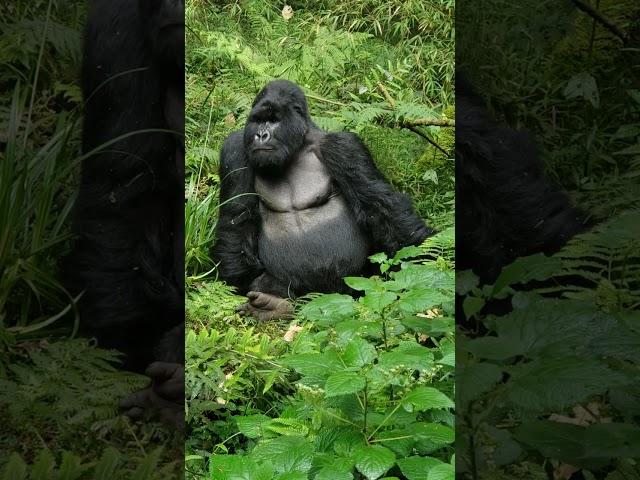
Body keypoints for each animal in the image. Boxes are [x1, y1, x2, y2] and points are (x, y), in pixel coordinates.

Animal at [212, 79, 432, 318]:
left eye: (273, 121)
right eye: (258, 121)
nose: (261, 135)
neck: (297, 146)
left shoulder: (344, 146)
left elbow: (380, 205)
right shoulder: (235, 149)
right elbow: (236, 219)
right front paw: (248, 282)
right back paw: (273, 304)